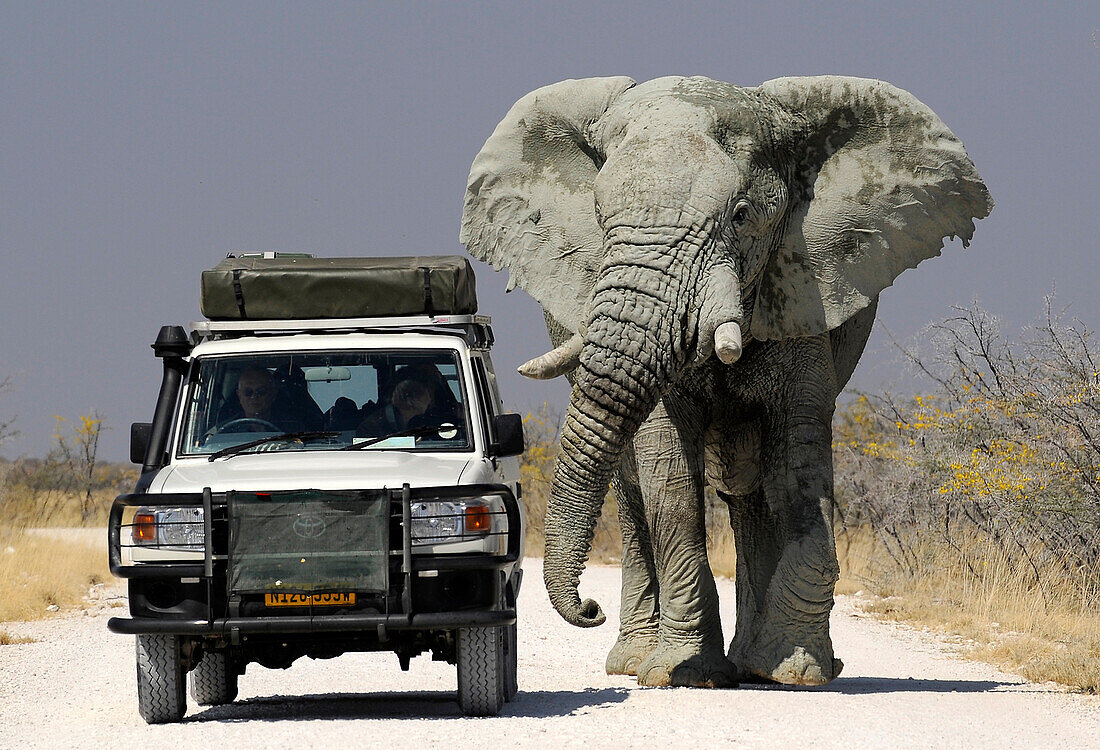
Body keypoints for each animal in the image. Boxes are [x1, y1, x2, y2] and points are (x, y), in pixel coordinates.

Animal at [459, 74, 994, 681]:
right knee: (633, 487)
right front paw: (682, 672)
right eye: (597, 217)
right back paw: (637, 660)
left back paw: (752, 664)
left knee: (753, 489)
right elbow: (669, 478)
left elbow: (799, 472)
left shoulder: (801, 290)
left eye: (740, 216)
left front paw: (798, 672)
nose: (588, 609)